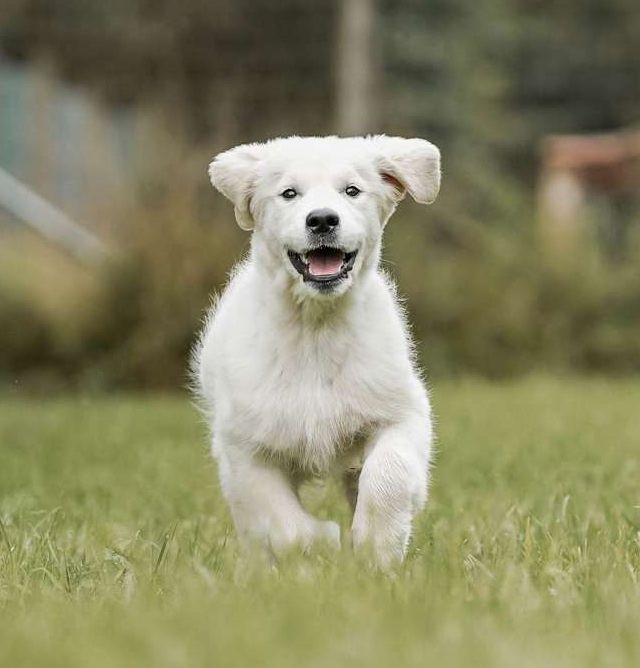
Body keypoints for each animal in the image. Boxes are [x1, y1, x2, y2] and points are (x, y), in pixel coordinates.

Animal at [195, 136, 440, 568]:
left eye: (352, 191)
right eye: (289, 193)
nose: (323, 220)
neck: (317, 328)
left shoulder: (401, 413)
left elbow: (388, 476)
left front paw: (377, 545)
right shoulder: (244, 448)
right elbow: (283, 526)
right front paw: (324, 542)